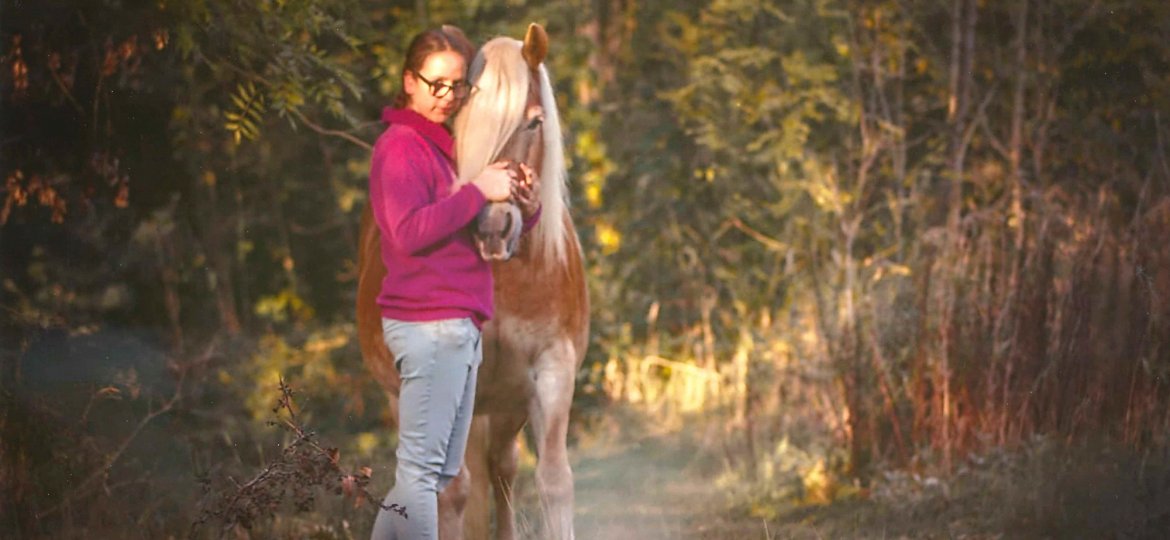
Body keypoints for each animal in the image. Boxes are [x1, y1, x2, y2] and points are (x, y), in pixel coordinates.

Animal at [353, 23, 585, 537]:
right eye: (460, 124)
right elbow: (453, 493)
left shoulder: (553, 369)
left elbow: (554, 479)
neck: (511, 276)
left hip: (507, 407)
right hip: (409, 399)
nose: (492, 228)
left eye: (534, 123)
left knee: (502, 471)